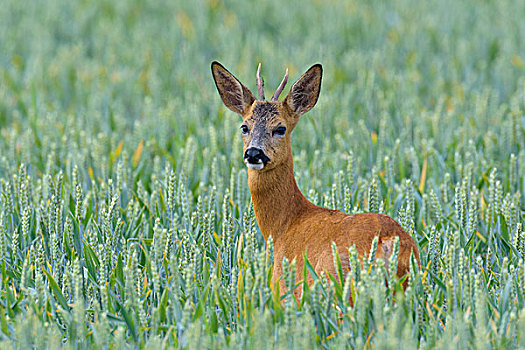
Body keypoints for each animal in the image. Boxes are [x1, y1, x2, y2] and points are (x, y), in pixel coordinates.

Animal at [211, 60, 420, 298]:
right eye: (244, 127)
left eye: (280, 128)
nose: (254, 153)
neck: (285, 225)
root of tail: (388, 241)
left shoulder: (283, 287)